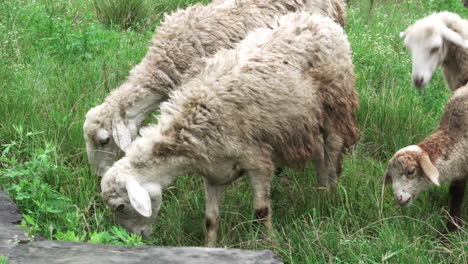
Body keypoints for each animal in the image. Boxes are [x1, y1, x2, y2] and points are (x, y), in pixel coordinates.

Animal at [100, 11, 356, 246]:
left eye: (120, 206)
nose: (137, 237)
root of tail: (318, 18)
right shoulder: (213, 172)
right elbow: (210, 219)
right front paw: (210, 248)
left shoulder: (258, 162)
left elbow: (261, 212)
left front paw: (272, 245)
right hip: (302, 120)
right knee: (318, 151)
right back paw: (322, 192)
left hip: (335, 100)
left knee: (333, 147)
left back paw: (333, 193)